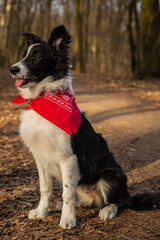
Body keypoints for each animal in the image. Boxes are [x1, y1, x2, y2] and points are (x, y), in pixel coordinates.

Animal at [10, 25, 160, 230]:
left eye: (38, 57)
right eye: (24, 55)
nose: (12, 69)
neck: (45, 98)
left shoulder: (68, 158)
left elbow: (67, 192)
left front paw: (68, 220)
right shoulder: (40, 156)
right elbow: (45, 188)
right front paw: (41, 212)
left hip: (111, 176)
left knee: (118, 202)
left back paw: (106, 211)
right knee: (87, 199)